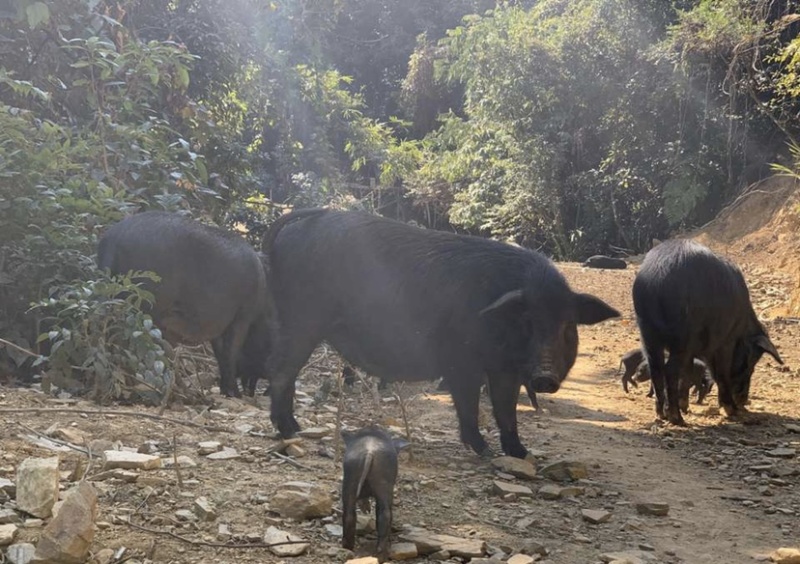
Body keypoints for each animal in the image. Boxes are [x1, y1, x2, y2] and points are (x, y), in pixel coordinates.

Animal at [96, 212, 276, 396]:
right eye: (271, 340)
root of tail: (113, 239)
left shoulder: (219, 325)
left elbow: (220, 354)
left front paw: (226, 391)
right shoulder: (242, 316)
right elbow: (230, 351)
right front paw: (235, 394)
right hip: (146, 302)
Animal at [262, 207, 620, 458]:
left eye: (568, 326)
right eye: (527, 322)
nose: (545, 376)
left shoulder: (504, 369)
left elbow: (506, 411)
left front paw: (521, 453)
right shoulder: (462, 361)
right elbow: (469, 405)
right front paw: (484, 451)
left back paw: (294, 428)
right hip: (302, 319)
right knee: (280, 372)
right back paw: (290, 431)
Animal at [342, 428, 406, 560]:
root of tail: (369, 452)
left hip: (350, 479)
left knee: (349, 514)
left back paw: (347, 547)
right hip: (384, 482)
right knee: (385, 513)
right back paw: (381, 551)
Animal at [632, 238, 780, 424]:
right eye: (750, 362)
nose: (743, 401)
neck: (742, 326)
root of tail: (655, 278)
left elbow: (689, 373)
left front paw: (686, 406)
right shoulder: (725, 341)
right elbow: (721, 372)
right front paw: (731, 411)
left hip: (647, 332)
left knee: (656, 367)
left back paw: (662, 414)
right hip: (682, 336)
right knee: (670, 370)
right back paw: (676, 418)